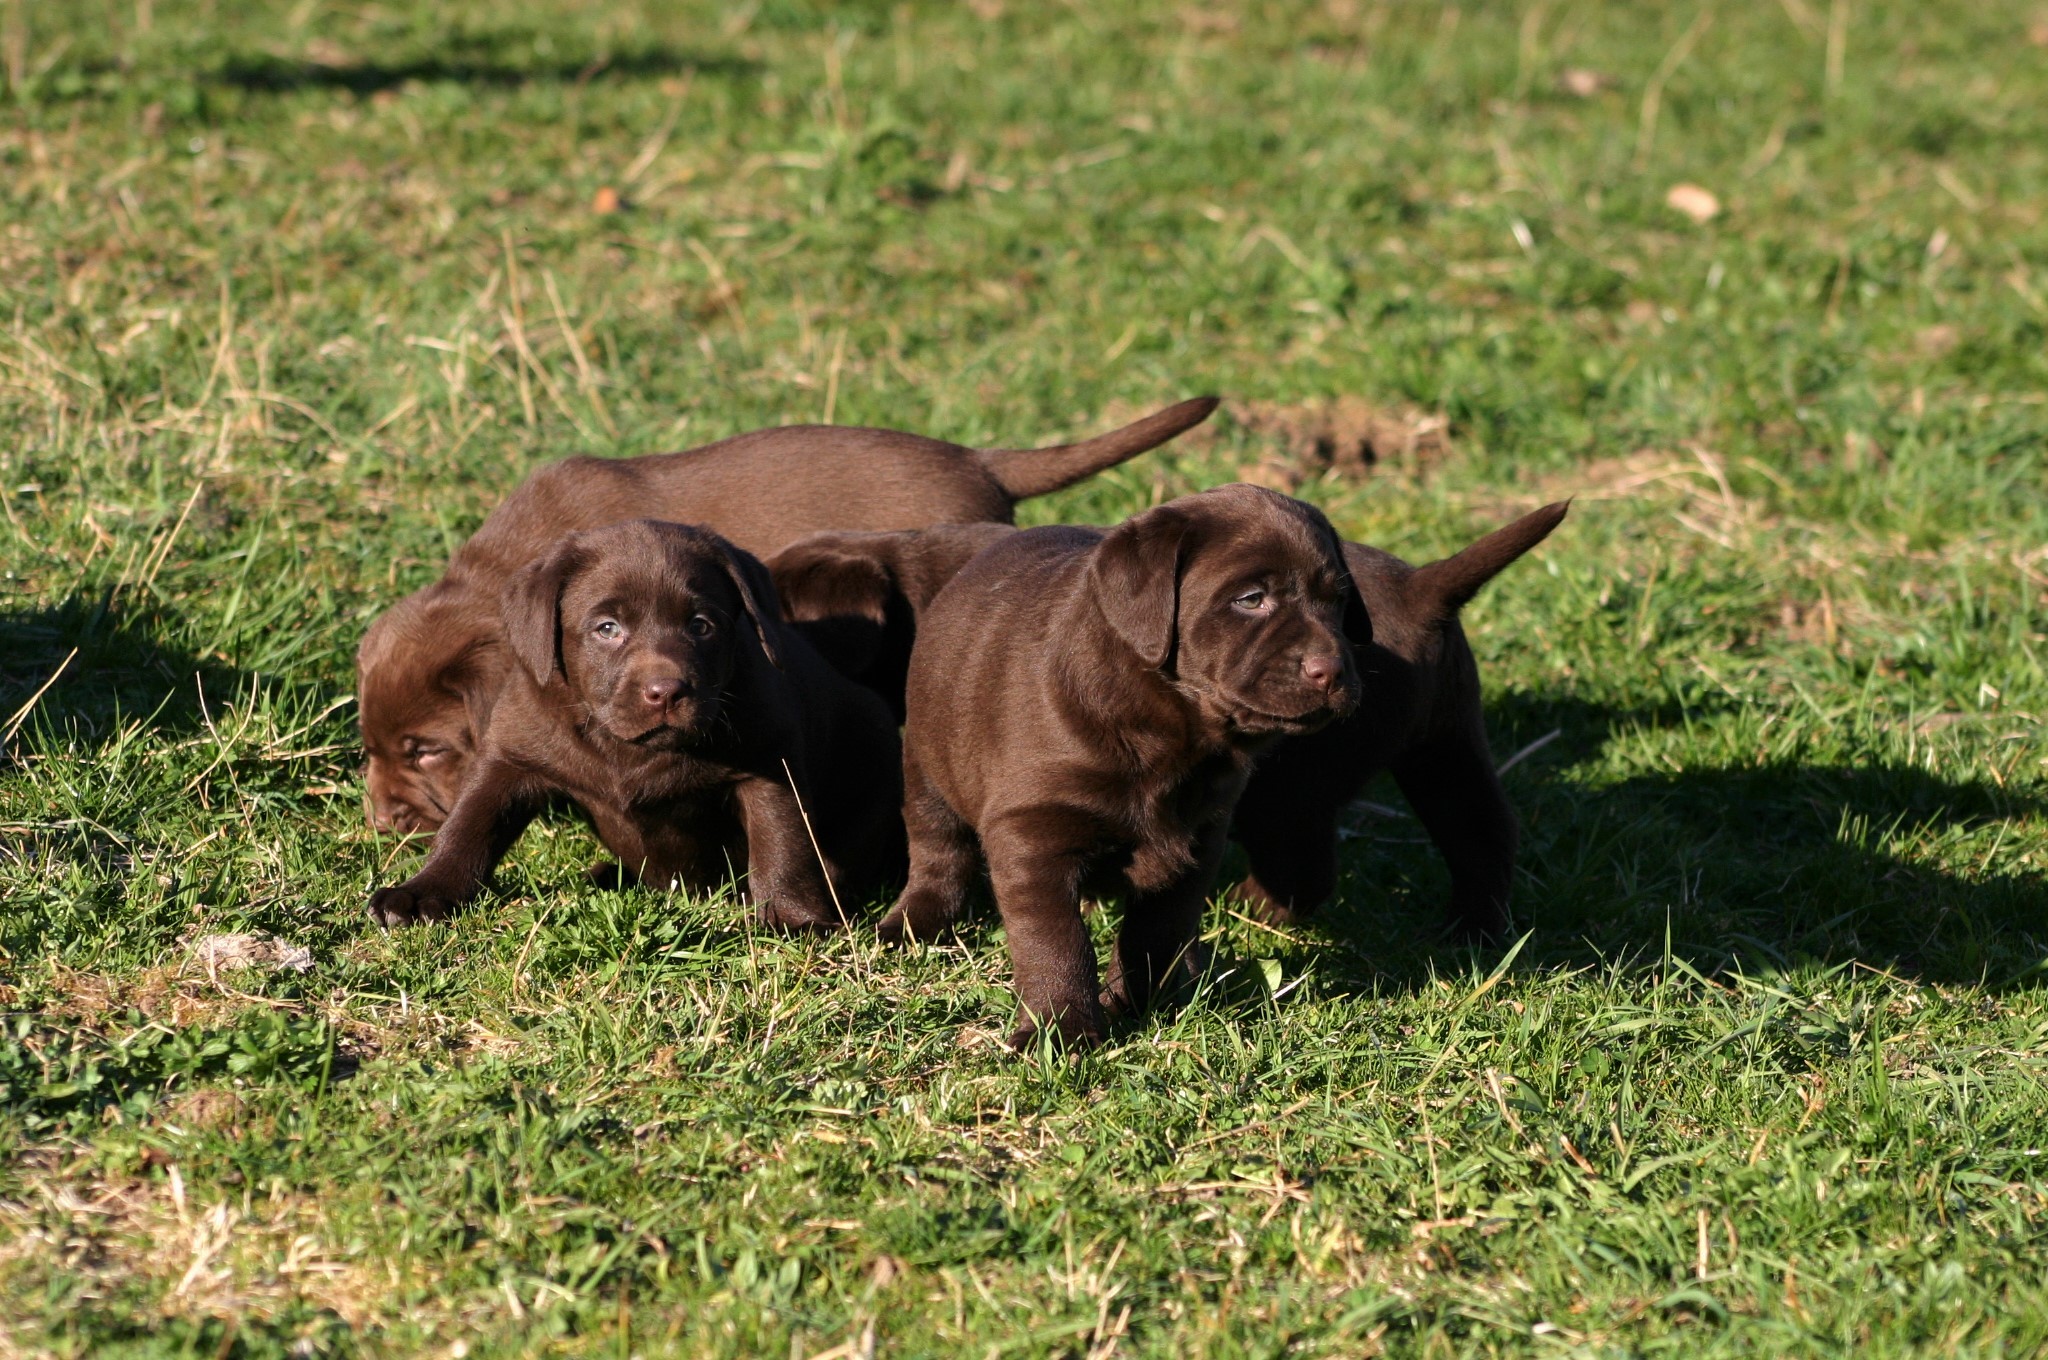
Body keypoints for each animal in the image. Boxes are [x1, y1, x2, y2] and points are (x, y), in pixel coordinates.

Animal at [368, 520, 897, 933]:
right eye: (607, 628)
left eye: (702, 625)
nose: (666, 692)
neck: (626, 745)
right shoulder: (510, 758)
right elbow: (467, 828)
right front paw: (422, 891)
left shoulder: (768, 763)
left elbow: (782, 843)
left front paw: (792, 918)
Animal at [888, 489, 1368, 1048]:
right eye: (1251, 599)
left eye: (1337, 601)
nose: (1331, 670)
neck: (1174, 727)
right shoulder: (1031, 834)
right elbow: (1056, 942)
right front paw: (1060, 1030)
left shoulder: (1198, 839)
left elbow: (1157, 931)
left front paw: (1141, 1003)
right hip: (927, 764)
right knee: (937, 846)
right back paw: (913, 922)